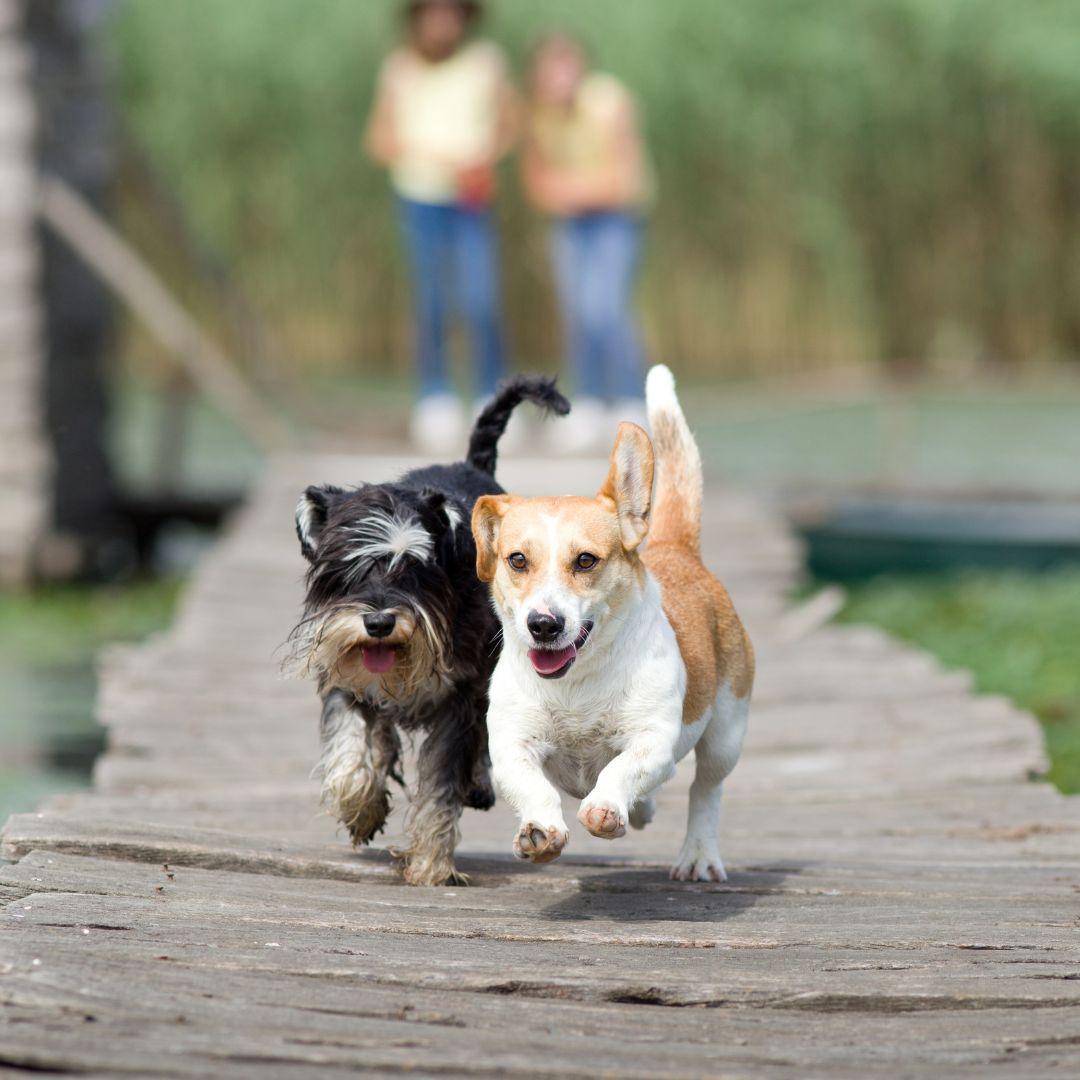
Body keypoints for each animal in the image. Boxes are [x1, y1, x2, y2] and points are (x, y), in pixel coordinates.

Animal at [291, 380, 570, 885]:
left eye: (416, 568)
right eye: (344, 568)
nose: (379, 622)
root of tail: (471, 465)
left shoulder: (457, 700)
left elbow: (441, 782)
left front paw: (431, 864)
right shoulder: (344, 680)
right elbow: (348, 750)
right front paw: (361, 808)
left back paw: (477, 783)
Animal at [473, 367, 751, 881]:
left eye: (585, 560)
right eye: (517, 560)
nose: (543, 624)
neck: (577, 684)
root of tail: (676, 547)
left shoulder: (653, 740)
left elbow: (620, 771)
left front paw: (605, 807)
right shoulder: (510, 745)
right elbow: (533, 786)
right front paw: (539, 830)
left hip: (726, 734)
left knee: (704, 790)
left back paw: (698, 854)